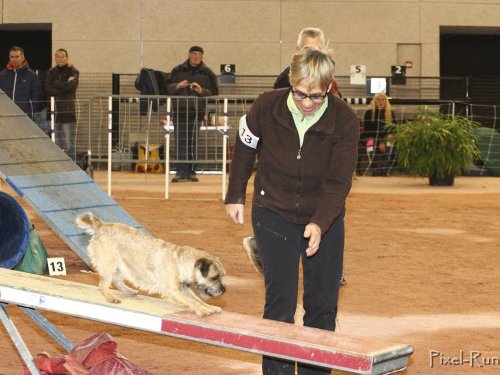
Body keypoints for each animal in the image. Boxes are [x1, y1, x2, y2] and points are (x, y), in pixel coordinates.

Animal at [75, 213, 226, 316]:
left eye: (222, 276)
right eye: (214, 277)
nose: (223, 290)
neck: (180, 261)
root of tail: (101, 226)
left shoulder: (183, 289)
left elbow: (197, 299)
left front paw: (209, 307)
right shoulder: (173, 290)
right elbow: (192, 301)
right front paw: (202, 310)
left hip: (123, 266)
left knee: (117, 281)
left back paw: (129, 291)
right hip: (109, 264)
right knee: (103, 285)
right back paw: (112, 298)